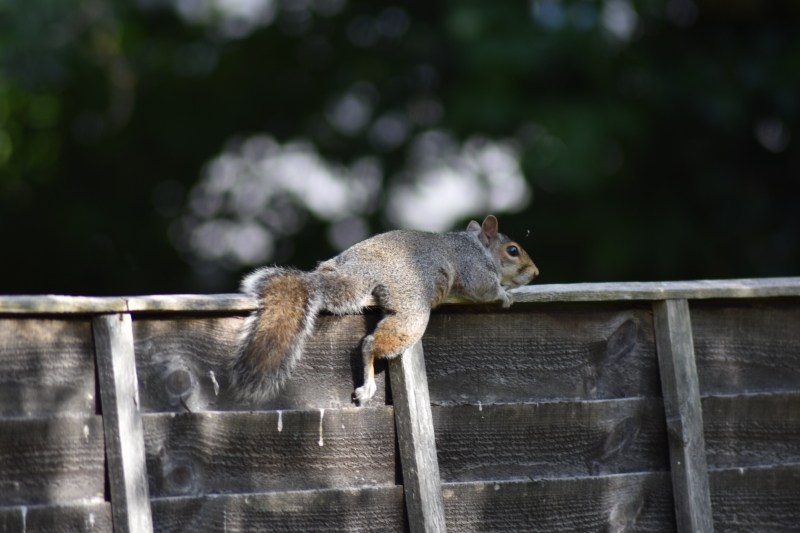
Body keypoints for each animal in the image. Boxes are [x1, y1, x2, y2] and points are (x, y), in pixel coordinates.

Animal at [228, 212, 536, 404]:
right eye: (513, 250)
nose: (535, 272)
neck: (476, 245)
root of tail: (361, 270)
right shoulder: (473, 266)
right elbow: (484, 288)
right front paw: (504, 295)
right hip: (411, 309)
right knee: (371, 344)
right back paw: (368, 385)